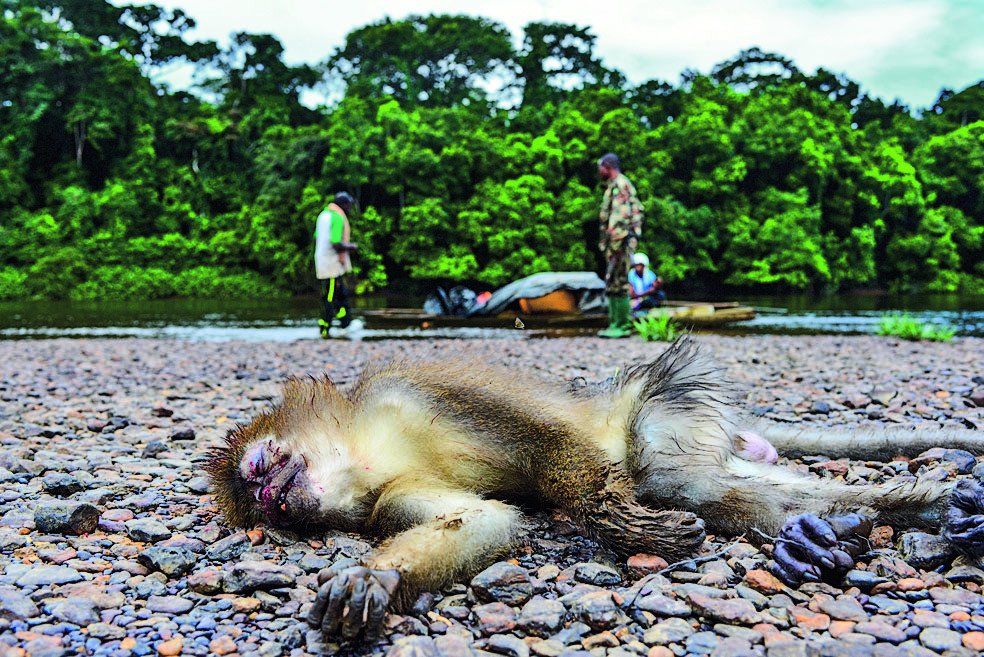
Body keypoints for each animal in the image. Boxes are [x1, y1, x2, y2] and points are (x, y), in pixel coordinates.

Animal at [208, 338, 984, 640]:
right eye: (268, 504)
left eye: (265, 471)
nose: (279, 501)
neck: (371, 447)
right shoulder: (385, 493)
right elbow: (484, 521)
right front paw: (375, 577)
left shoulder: (413, 389)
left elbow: (548, 439)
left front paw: (616, 519)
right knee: (701, 482)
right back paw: (822, 534)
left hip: (672, 400)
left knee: (665, 470)